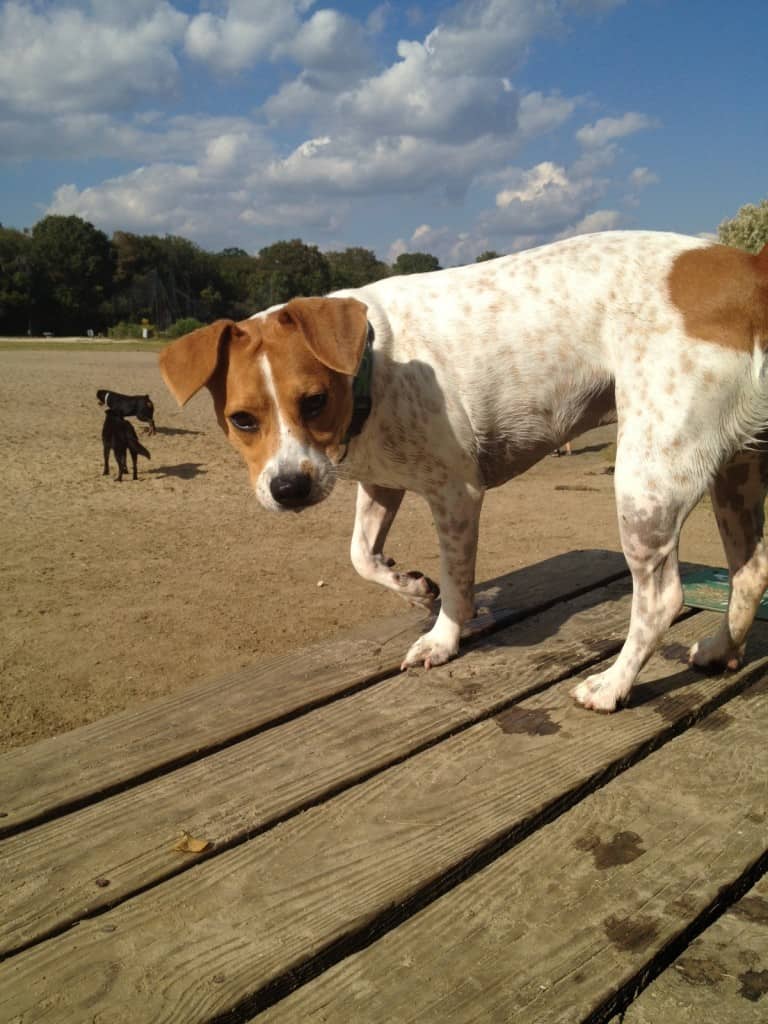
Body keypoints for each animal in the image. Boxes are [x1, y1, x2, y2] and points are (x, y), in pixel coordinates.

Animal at [157, 232, 768, 712]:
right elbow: (360, 555)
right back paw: (720, 650)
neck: (373, 360)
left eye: (313, 401)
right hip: (734, 475)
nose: (288, 488)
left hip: (647, 483)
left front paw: (441, 636)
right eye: (242, 420)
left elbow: (456, 582)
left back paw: (612, 685)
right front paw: (411, 587)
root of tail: (750, 266)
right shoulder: (381, 481)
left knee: (660, 599)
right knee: (750, 572)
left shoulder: (455, 492)